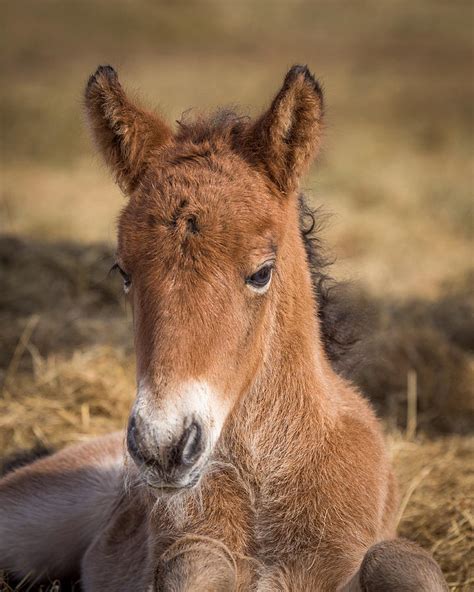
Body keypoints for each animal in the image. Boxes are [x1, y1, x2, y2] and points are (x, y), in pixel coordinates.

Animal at [0, 66, 446, 592]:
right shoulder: (187, 546)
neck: (264, 481)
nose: (163, 446)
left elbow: (399, 560)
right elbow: (193, 563)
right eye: (123, 272)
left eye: (262, 272)